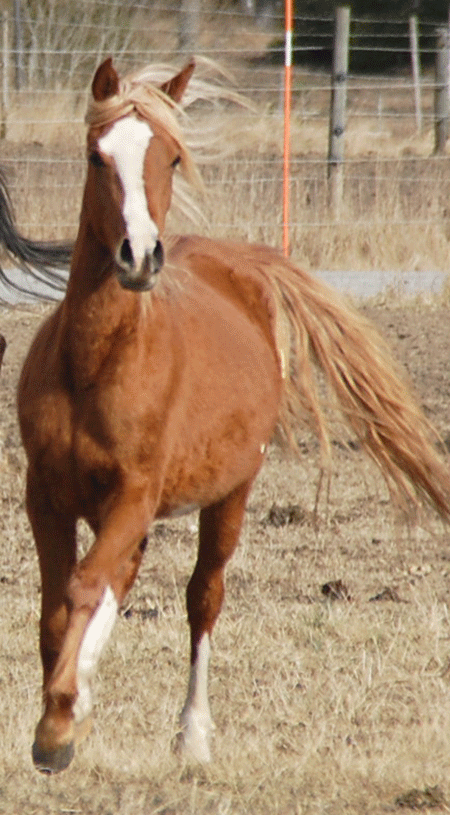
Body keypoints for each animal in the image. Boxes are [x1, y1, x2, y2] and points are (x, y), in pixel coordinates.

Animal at [17, 57, 450, 772]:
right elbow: (60, 604)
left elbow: (85, 590)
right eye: (96, 156)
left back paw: (192, 734)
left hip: (230, 495)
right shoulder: (46, 496)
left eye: (170, 156)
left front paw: (57, 728)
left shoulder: (134, 494)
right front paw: (64, 714)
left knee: (202, 597)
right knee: (122, 583)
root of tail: (243, 263)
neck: (96, 362)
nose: (140, 256)